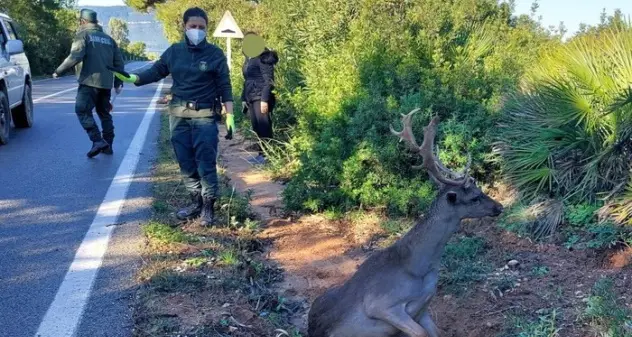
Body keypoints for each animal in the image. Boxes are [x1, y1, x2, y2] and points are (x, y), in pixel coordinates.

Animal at [306, 108, 504, 336]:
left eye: (479, 191)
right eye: (474, 197)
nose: (499, 207)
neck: (419, 268)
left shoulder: (424, 309)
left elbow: (435, 332)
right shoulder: (380, 305)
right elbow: (420, 332)